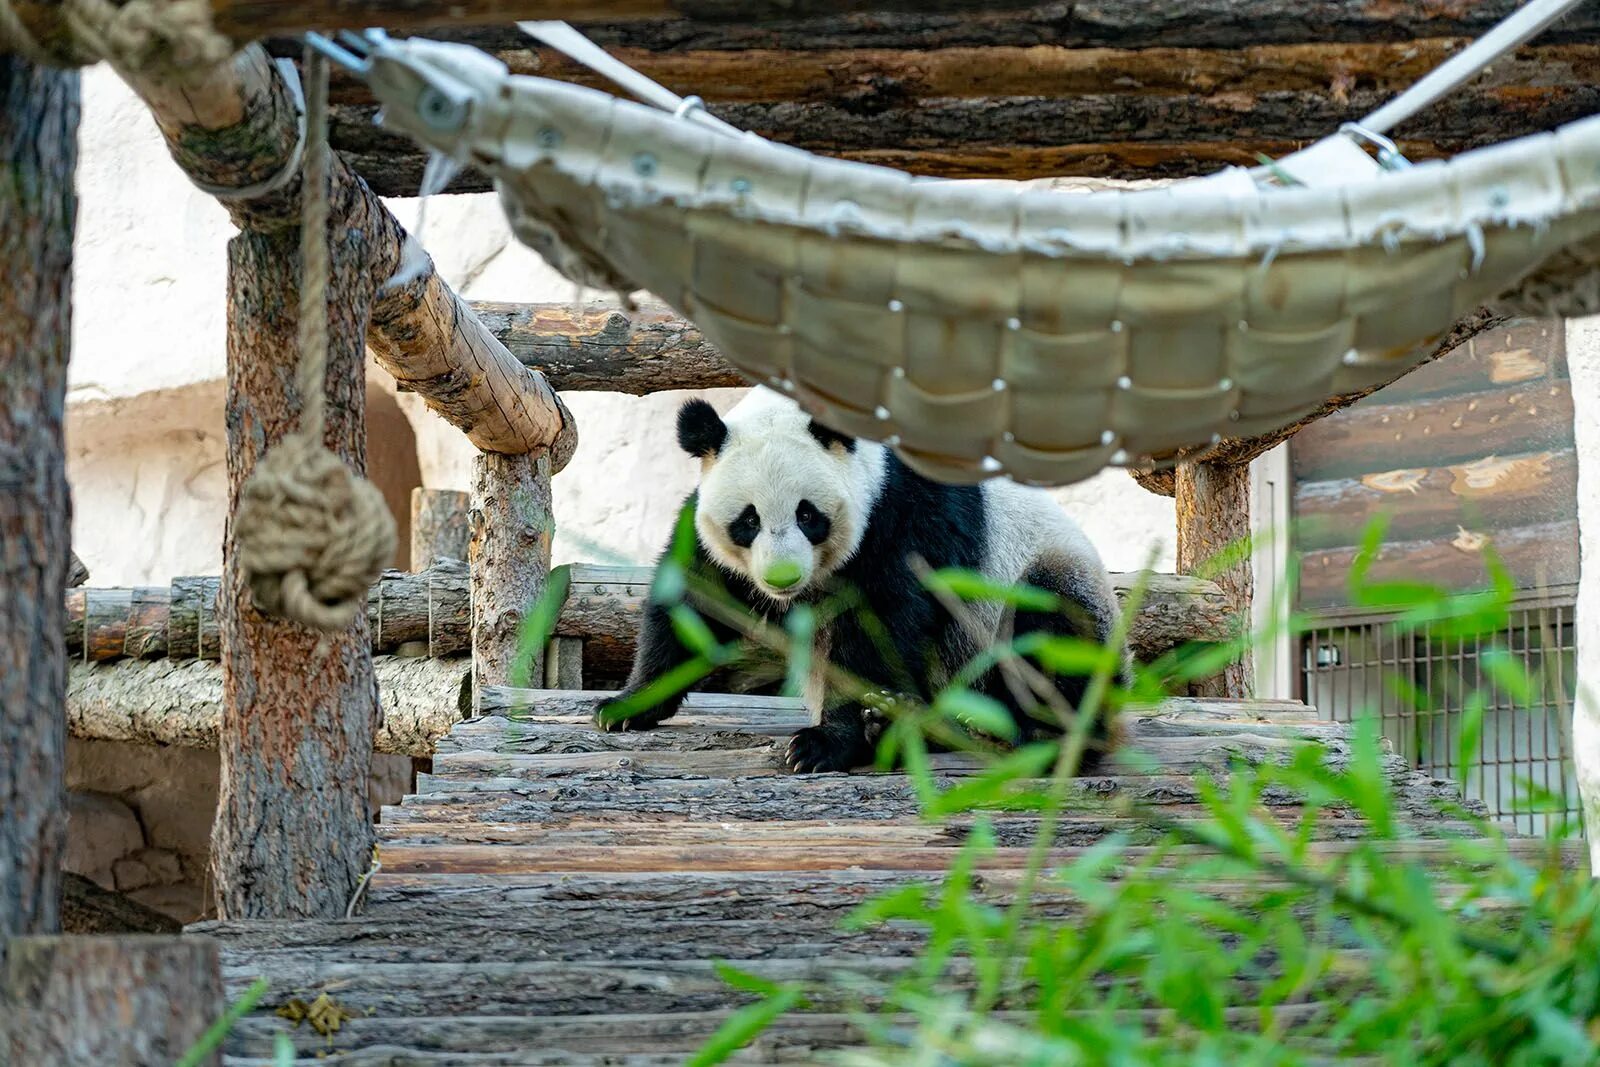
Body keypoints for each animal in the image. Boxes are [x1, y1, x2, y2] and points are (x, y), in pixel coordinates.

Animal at [595, 388, 1132, 771]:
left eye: (807, 514)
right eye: (748, 520)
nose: (782, 577)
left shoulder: (903, 517)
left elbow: (881, 627)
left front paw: (821, 744)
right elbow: (692, 600)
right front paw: (626, 706)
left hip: (1041, 586)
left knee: (1053, 631)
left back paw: (1024, 735)